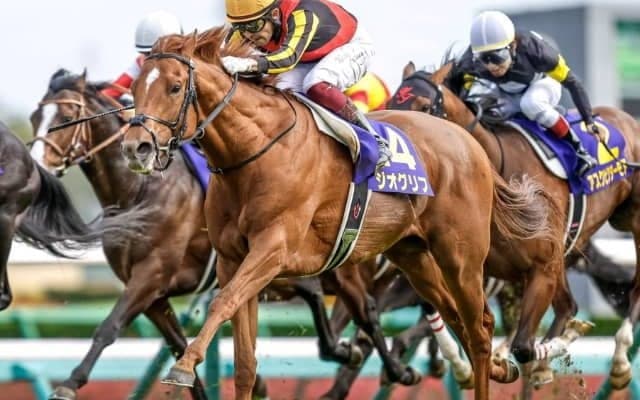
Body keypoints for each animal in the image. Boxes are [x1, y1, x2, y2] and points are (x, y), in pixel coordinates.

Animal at [29, 69, 433, 399]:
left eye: (66, 118)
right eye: (36, 117)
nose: (35, 164)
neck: (140, 192)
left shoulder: (152, 274)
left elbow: (108, 326)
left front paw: (70, 383)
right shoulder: (153, 293)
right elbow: (176, 345)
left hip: (339, 267)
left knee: (366, 311)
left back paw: (395, 367)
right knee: (319, 296)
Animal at [119, 27, 556, 400]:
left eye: (175, 86)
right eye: (137, 88)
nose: (136, 147)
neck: (254, 152)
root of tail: (470, 143)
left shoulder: (273, 249)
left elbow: (220, 304)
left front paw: (183, 366)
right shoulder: (231, 260)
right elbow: (244, 360)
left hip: (460, 255)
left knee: (479, 329)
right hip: (414, 256)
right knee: (462, 321)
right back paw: (499, 367)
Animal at [393, 60, 640, 389]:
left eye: (423, 105)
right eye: (392, 102)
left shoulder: (540, 266)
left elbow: (523, 346)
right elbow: (441, 310)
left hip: (631, 221)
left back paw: (620, 360)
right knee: (567, 305)